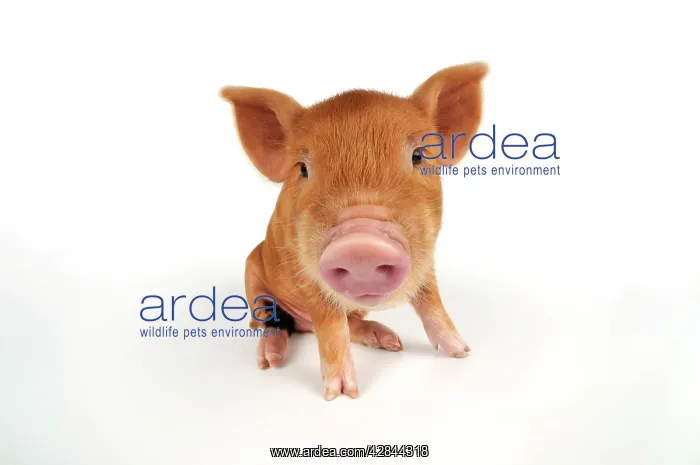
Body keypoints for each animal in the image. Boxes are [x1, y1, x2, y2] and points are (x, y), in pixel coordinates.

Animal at [220, 62, 488, 400]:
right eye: (302, 169)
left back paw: (390, 341)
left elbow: (431, 302)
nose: (362, 245)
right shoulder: (305, 270)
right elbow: (331, 324)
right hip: (253, 273)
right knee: (272, 320)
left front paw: (463, 352)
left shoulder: (426, 259)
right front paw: (341, 394)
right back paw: (269, 360)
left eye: (418, 156)